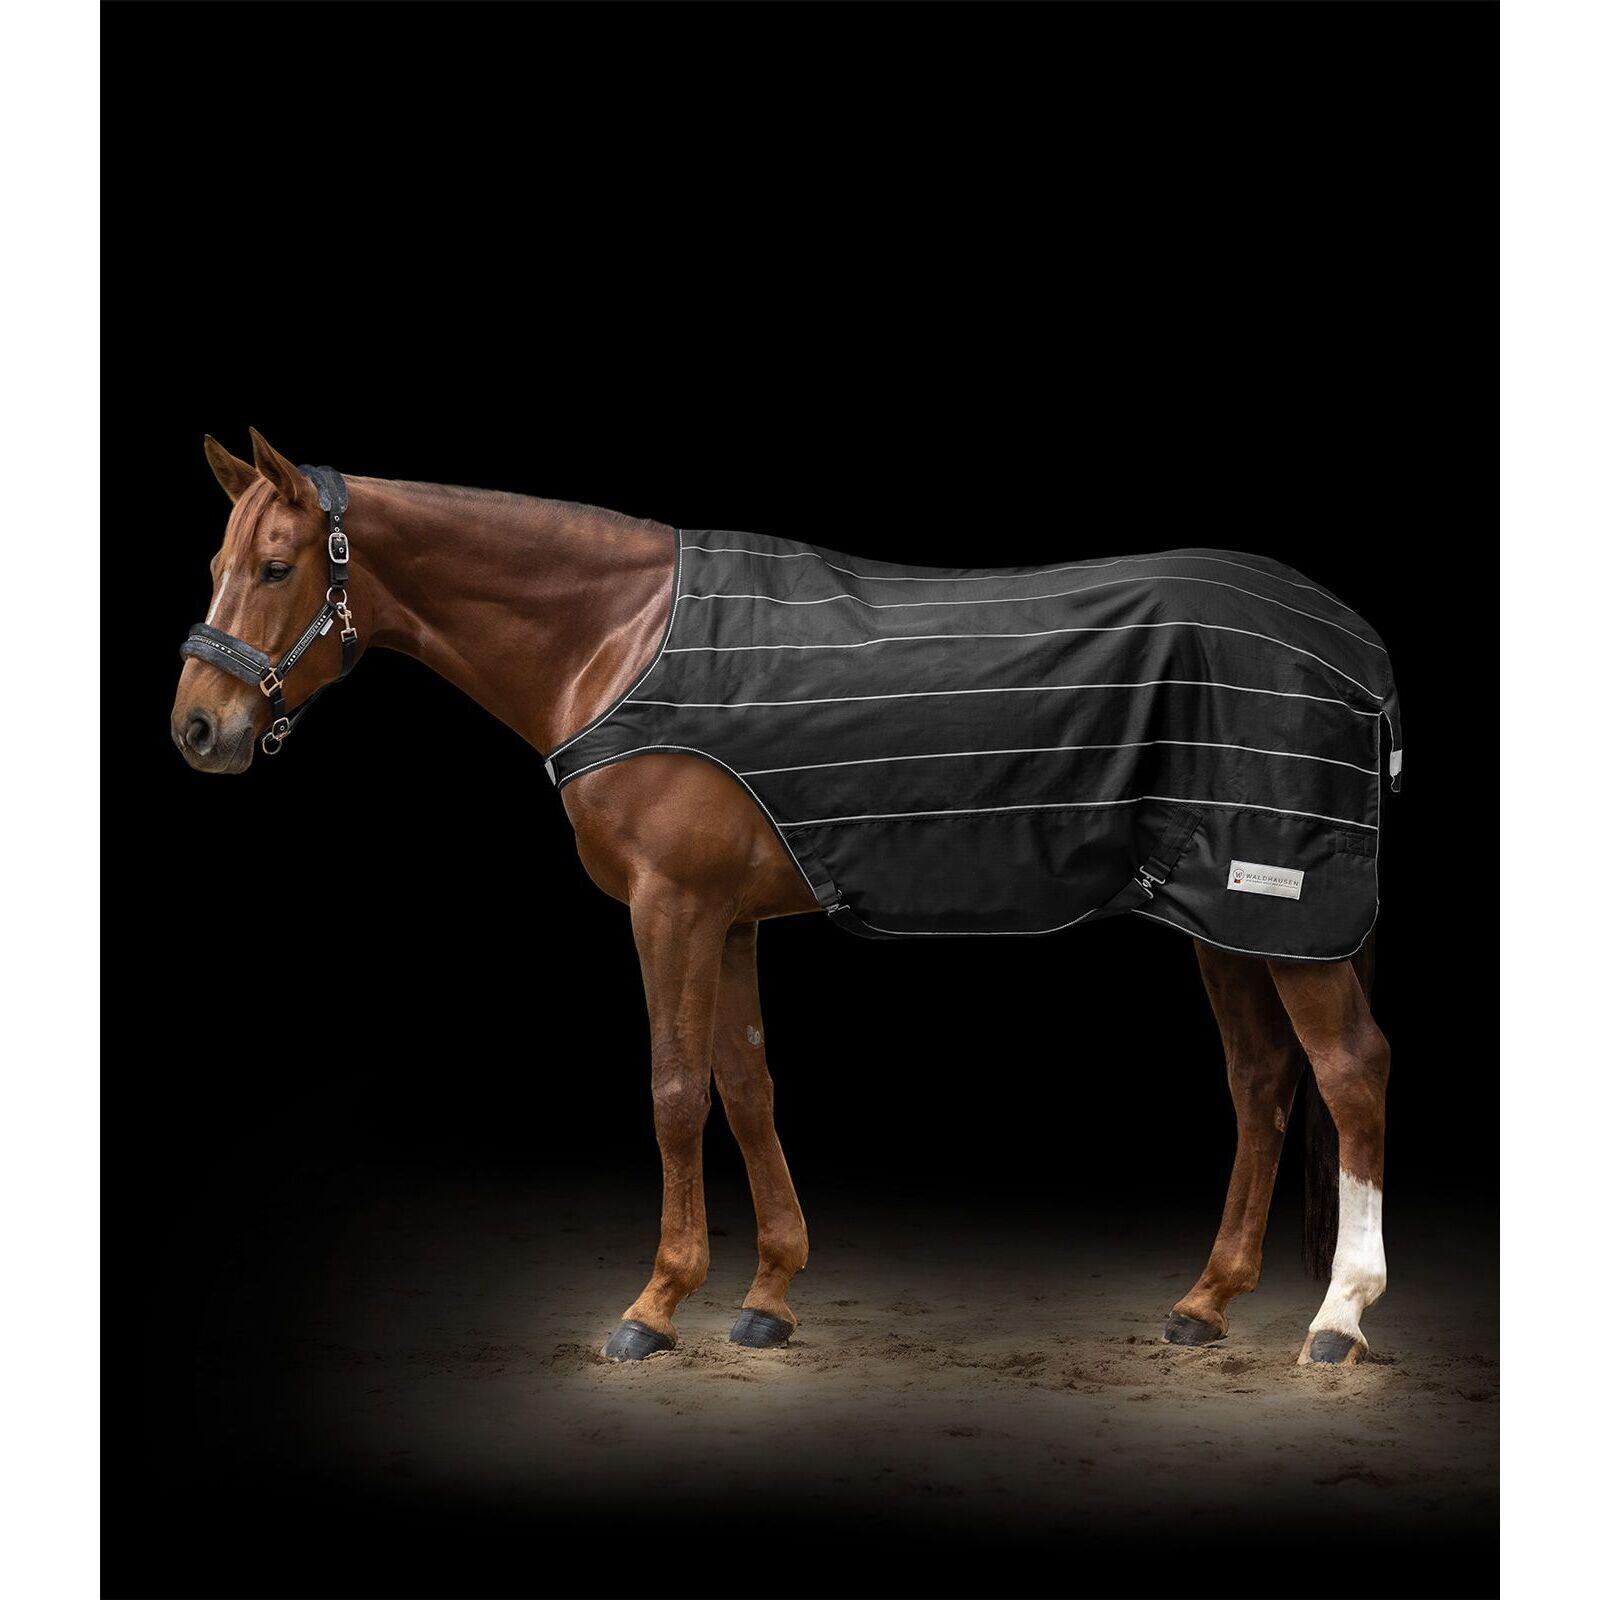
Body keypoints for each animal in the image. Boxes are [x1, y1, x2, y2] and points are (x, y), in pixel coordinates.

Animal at [171, 430, 1392, 1366]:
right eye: (220, 560)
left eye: (275, 567)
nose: (197, 729)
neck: (616, 639)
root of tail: (1355, 643)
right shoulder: (730, 916)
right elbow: (747, 1086)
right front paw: (766, 1296)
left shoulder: (669, 907)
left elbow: (673, 1090)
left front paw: (656, 1306)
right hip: (1224, 915)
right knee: (1262, 1080)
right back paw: (1207, 1302)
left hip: (1285, 912)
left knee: (1348, 1072)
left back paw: (1338, 1320)